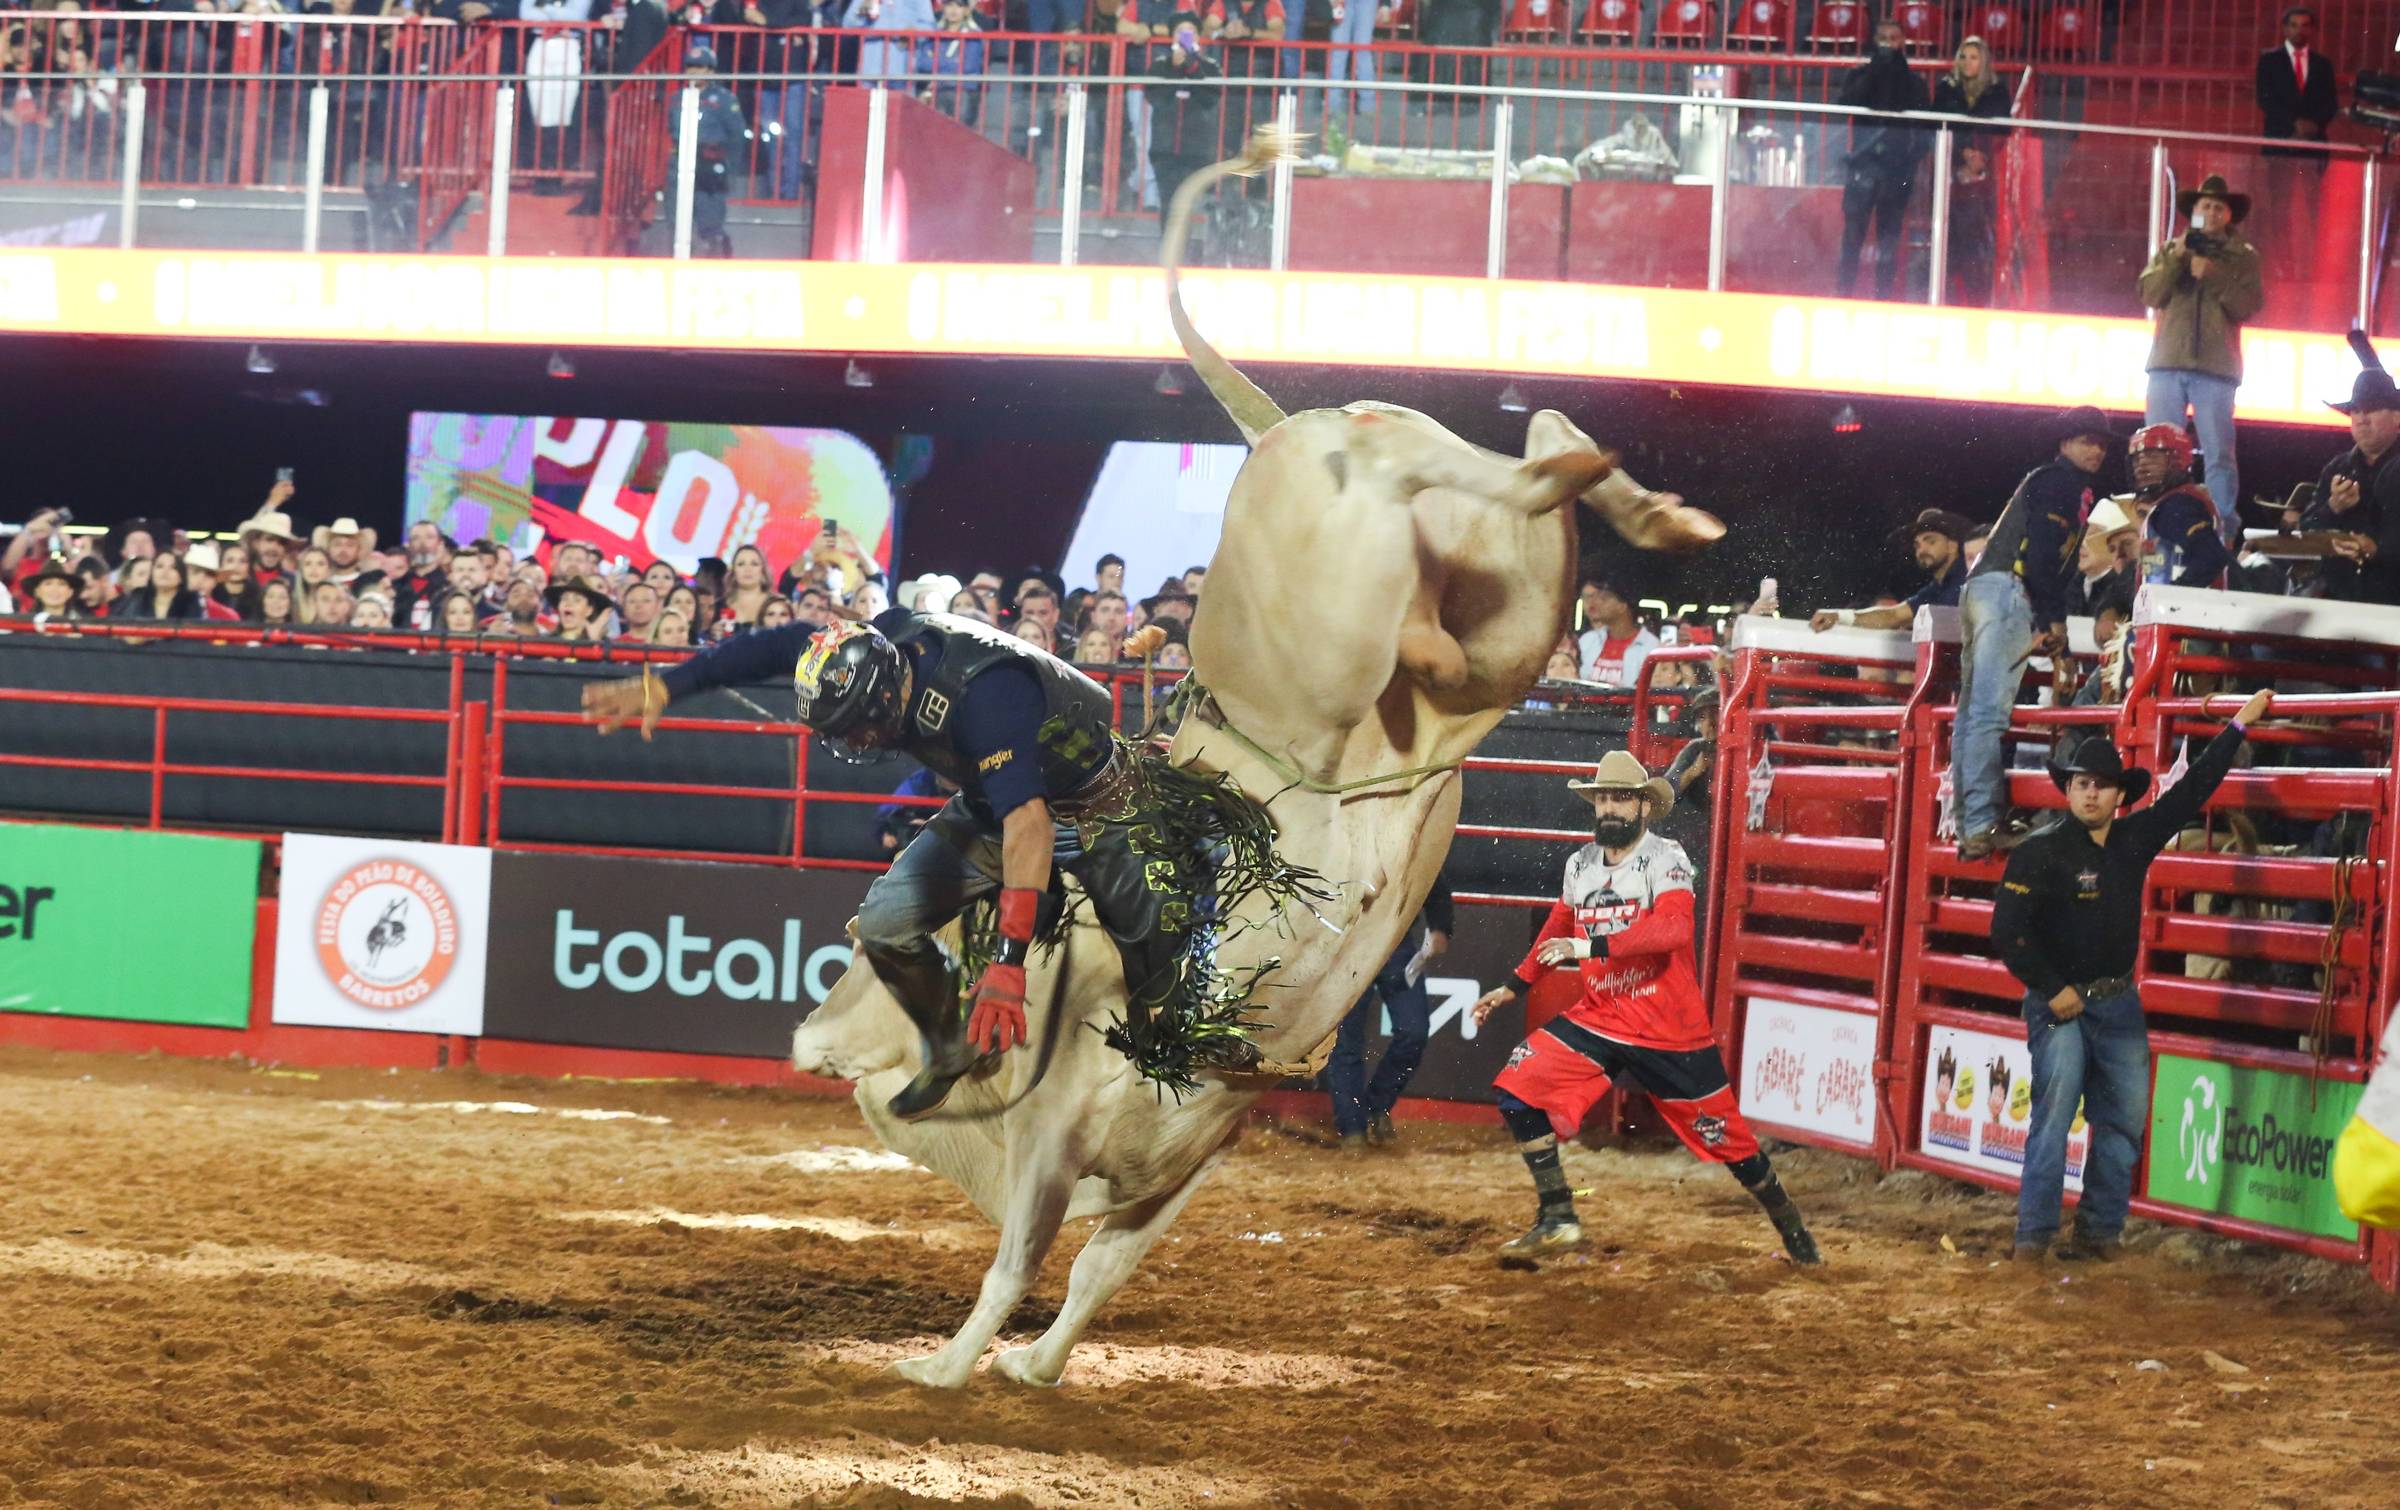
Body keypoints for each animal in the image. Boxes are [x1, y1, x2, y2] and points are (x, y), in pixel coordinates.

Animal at [792, 132, 1728, 1392]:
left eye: (868, 971)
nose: (807, 1035)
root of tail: (1292, 427)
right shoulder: (1192, 1145)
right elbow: (1100, 1268)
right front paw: (1038, 1366)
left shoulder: (1056, 1132)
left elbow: (1023, 1261)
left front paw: (949, 1366)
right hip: (1505, 603)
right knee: (1530, 462)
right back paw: (1638, 509)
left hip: (1352, 573)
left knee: (1453, 479)